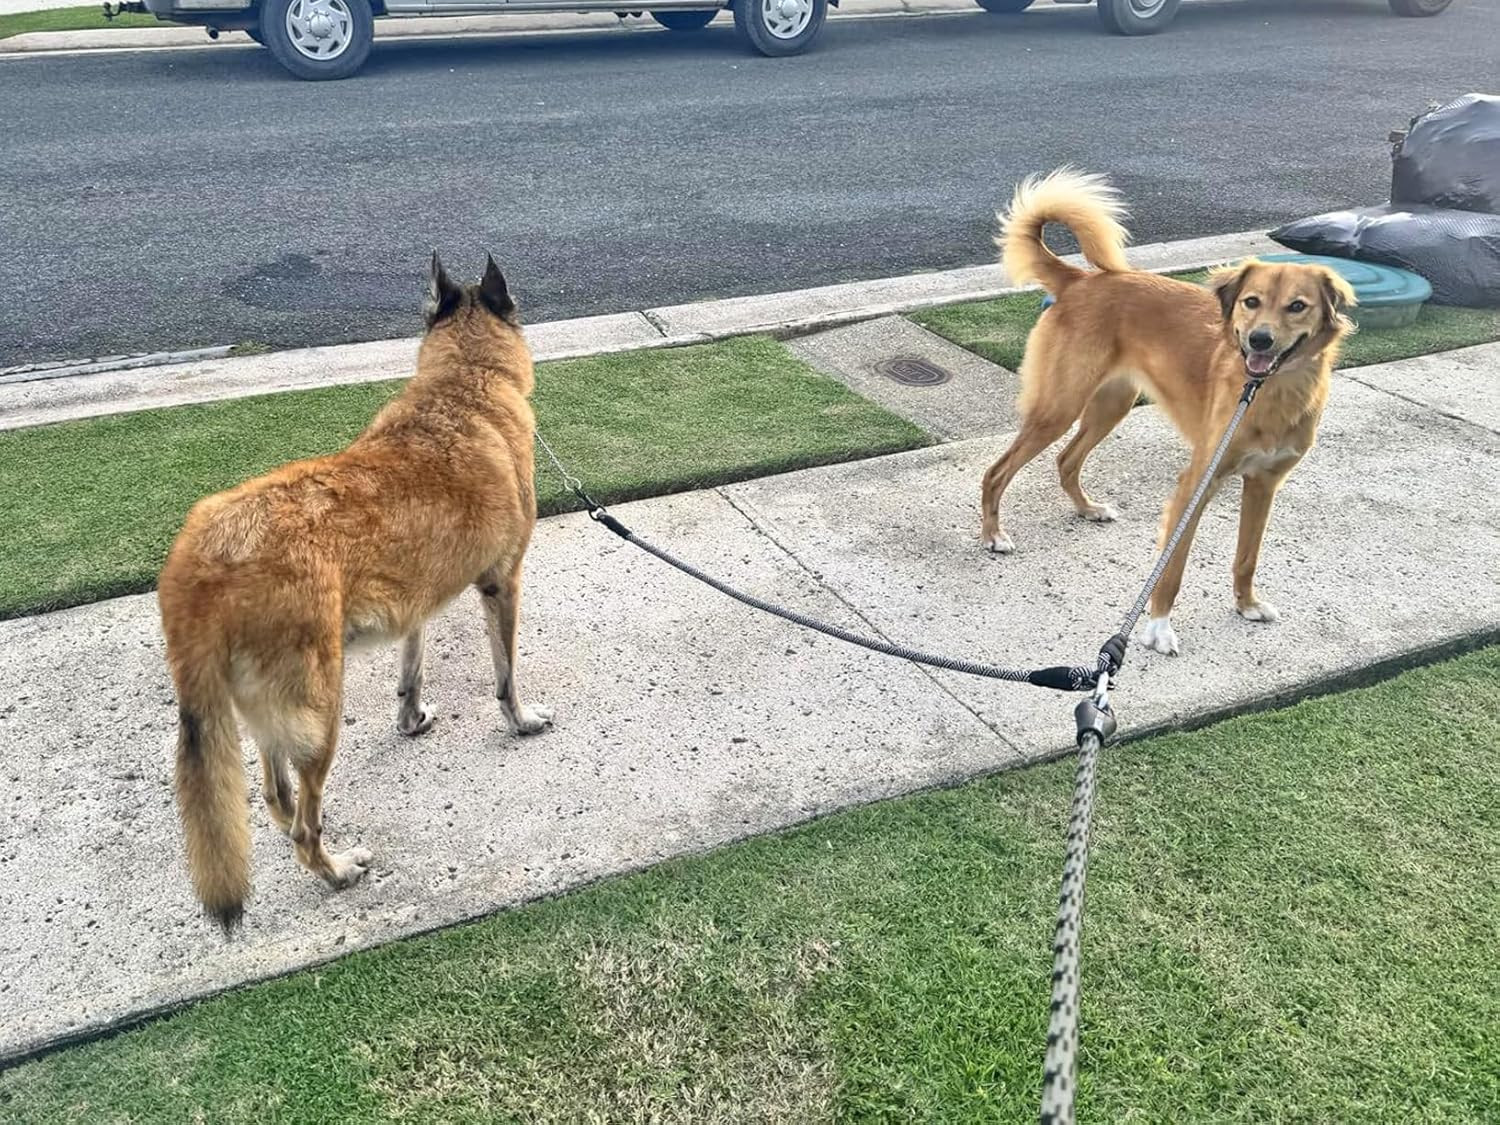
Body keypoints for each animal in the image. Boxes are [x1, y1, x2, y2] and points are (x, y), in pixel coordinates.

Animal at [158, 253, 553, 929]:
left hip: (270, 713)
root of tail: (202, 554)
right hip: (320, 711)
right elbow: (506, 676)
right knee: (301, 827)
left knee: (277, 797)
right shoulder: (501, 584)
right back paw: (338, 870)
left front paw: (411, 719)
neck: (466, 383)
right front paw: (520, 721)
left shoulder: (415, 601)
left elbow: (411, 671)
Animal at [980, 169, 1356, 656]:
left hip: (1111, 405)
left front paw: (1247, 604)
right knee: (997, 471)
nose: (1259, 340)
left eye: (1297, 306)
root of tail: (1081, 280)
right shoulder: (1197, 482)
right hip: (1058, 408)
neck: (1267, 392)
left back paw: (1087, 509)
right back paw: (993, 535)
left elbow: (1247, 556)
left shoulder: (1264, 484)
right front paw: (1158, 627)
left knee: (1065, 460)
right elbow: (1173, 567)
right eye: (1251, 302)